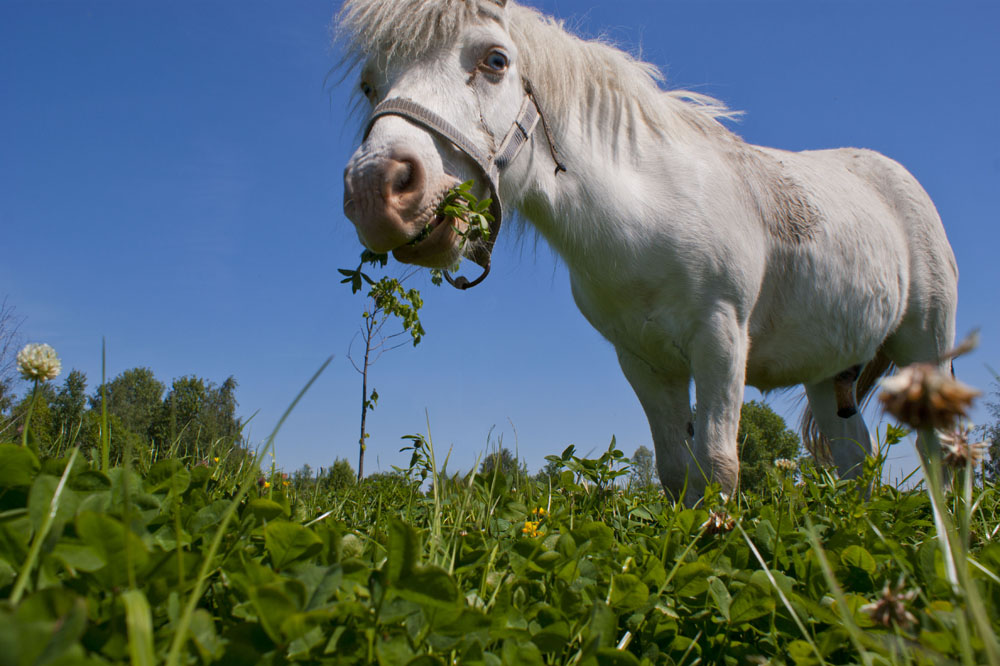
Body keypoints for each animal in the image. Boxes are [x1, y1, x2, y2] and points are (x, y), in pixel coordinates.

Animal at [337, 0, 959, 503]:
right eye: (369, 86)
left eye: (495, 61)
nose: (375, 190)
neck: (649, 212)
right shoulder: (643, 361)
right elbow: (677, 473)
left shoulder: (720, 339)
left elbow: (719, 465)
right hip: (831, 373)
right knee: (855, 459)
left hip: (925, 348)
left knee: (943, 453)